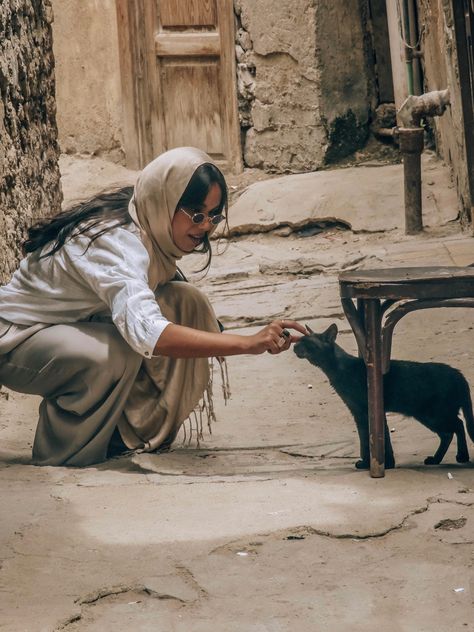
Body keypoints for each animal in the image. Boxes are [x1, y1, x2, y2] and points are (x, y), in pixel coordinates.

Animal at [292, 326, 474, 470]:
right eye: (299, 339)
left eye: (306, 342)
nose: (294, 346)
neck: (338, 369)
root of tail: (458, 374)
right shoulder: (362, 413)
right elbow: (375, 437)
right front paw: (386, 463)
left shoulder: (364, 412)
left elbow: (367, 440)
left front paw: (370, 464)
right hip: (428, 415)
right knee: (448, 433)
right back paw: (436, 459)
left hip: (434, 414)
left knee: (458, 426)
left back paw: (462, 456)